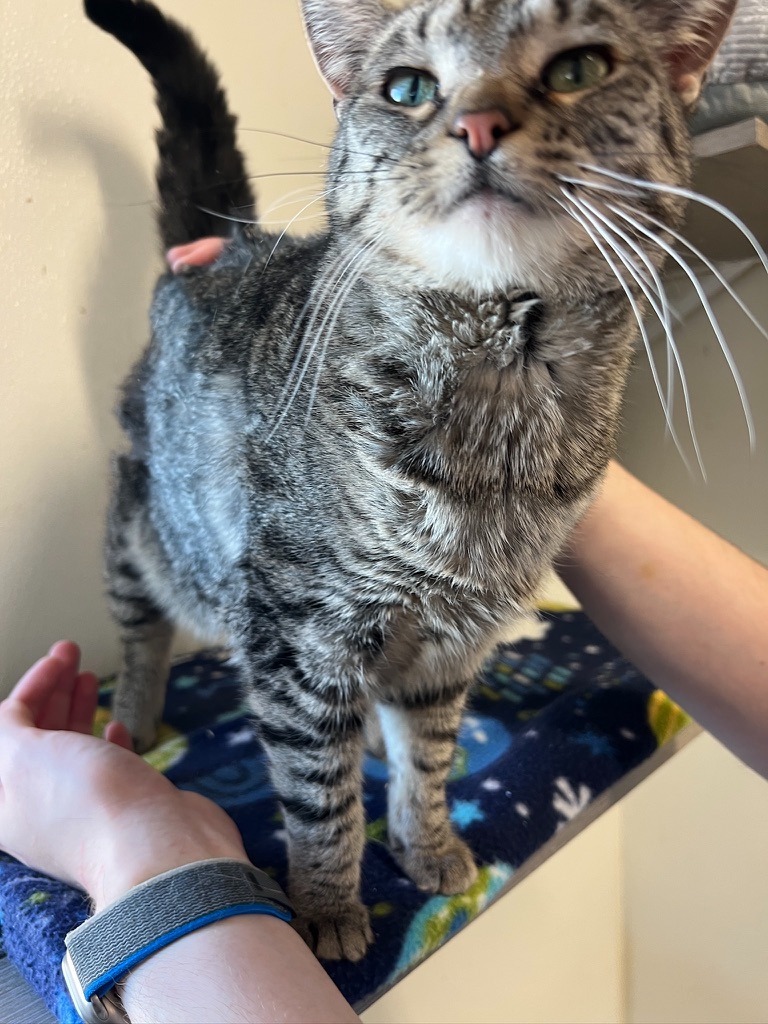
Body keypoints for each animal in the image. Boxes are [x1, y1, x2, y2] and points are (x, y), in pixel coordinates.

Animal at [85, 0, 741, 958]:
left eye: (578, 69)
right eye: (408, 89)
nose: (478, 123)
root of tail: (224, 248)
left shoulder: (452, 644)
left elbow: (426, 757)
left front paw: (424, 842)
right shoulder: (298, 633)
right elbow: (318, 796)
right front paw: (326, 903)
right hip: (140, 526)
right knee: (144, 632)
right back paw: (132, 717)